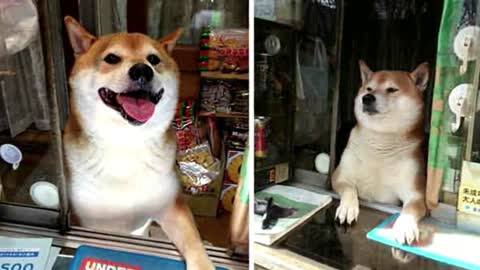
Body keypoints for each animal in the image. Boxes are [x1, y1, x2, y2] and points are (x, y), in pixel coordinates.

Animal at [61, 16, 214, 270]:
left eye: (153, 59)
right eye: (111, 58)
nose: (142, 69)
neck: (126, 144)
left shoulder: (171, 206)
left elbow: (194, 242)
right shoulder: (93, 222)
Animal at [332, 60, 430, 247]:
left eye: (392, 89)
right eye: (368, 89)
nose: (367, 98)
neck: (381, 141)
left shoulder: (416, 195)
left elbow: (409, 209)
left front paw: (405, 226)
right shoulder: (340, 176)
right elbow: (349, 189)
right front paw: (348, 207)